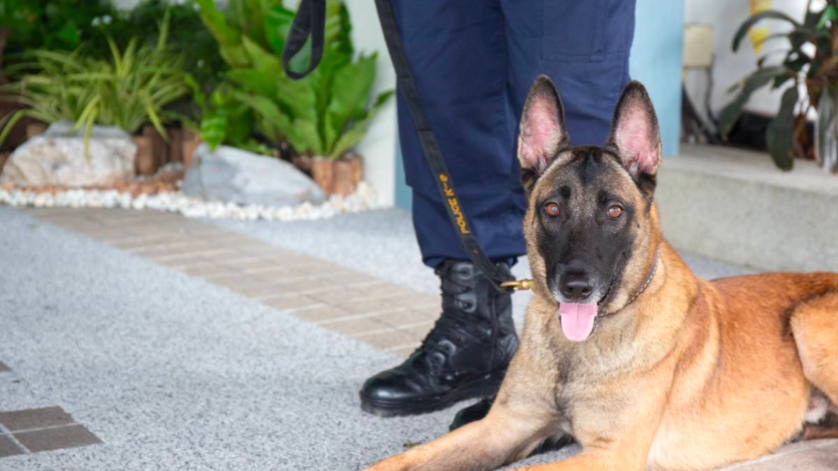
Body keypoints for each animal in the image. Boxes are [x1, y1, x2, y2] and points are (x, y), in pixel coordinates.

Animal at [366, 77, 838, 471]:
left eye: (613, 211)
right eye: (551, 209)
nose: (575, 287)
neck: (576, 350)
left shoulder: (611, 454)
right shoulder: (504, 427)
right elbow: (396, 462)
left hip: (808, 322)